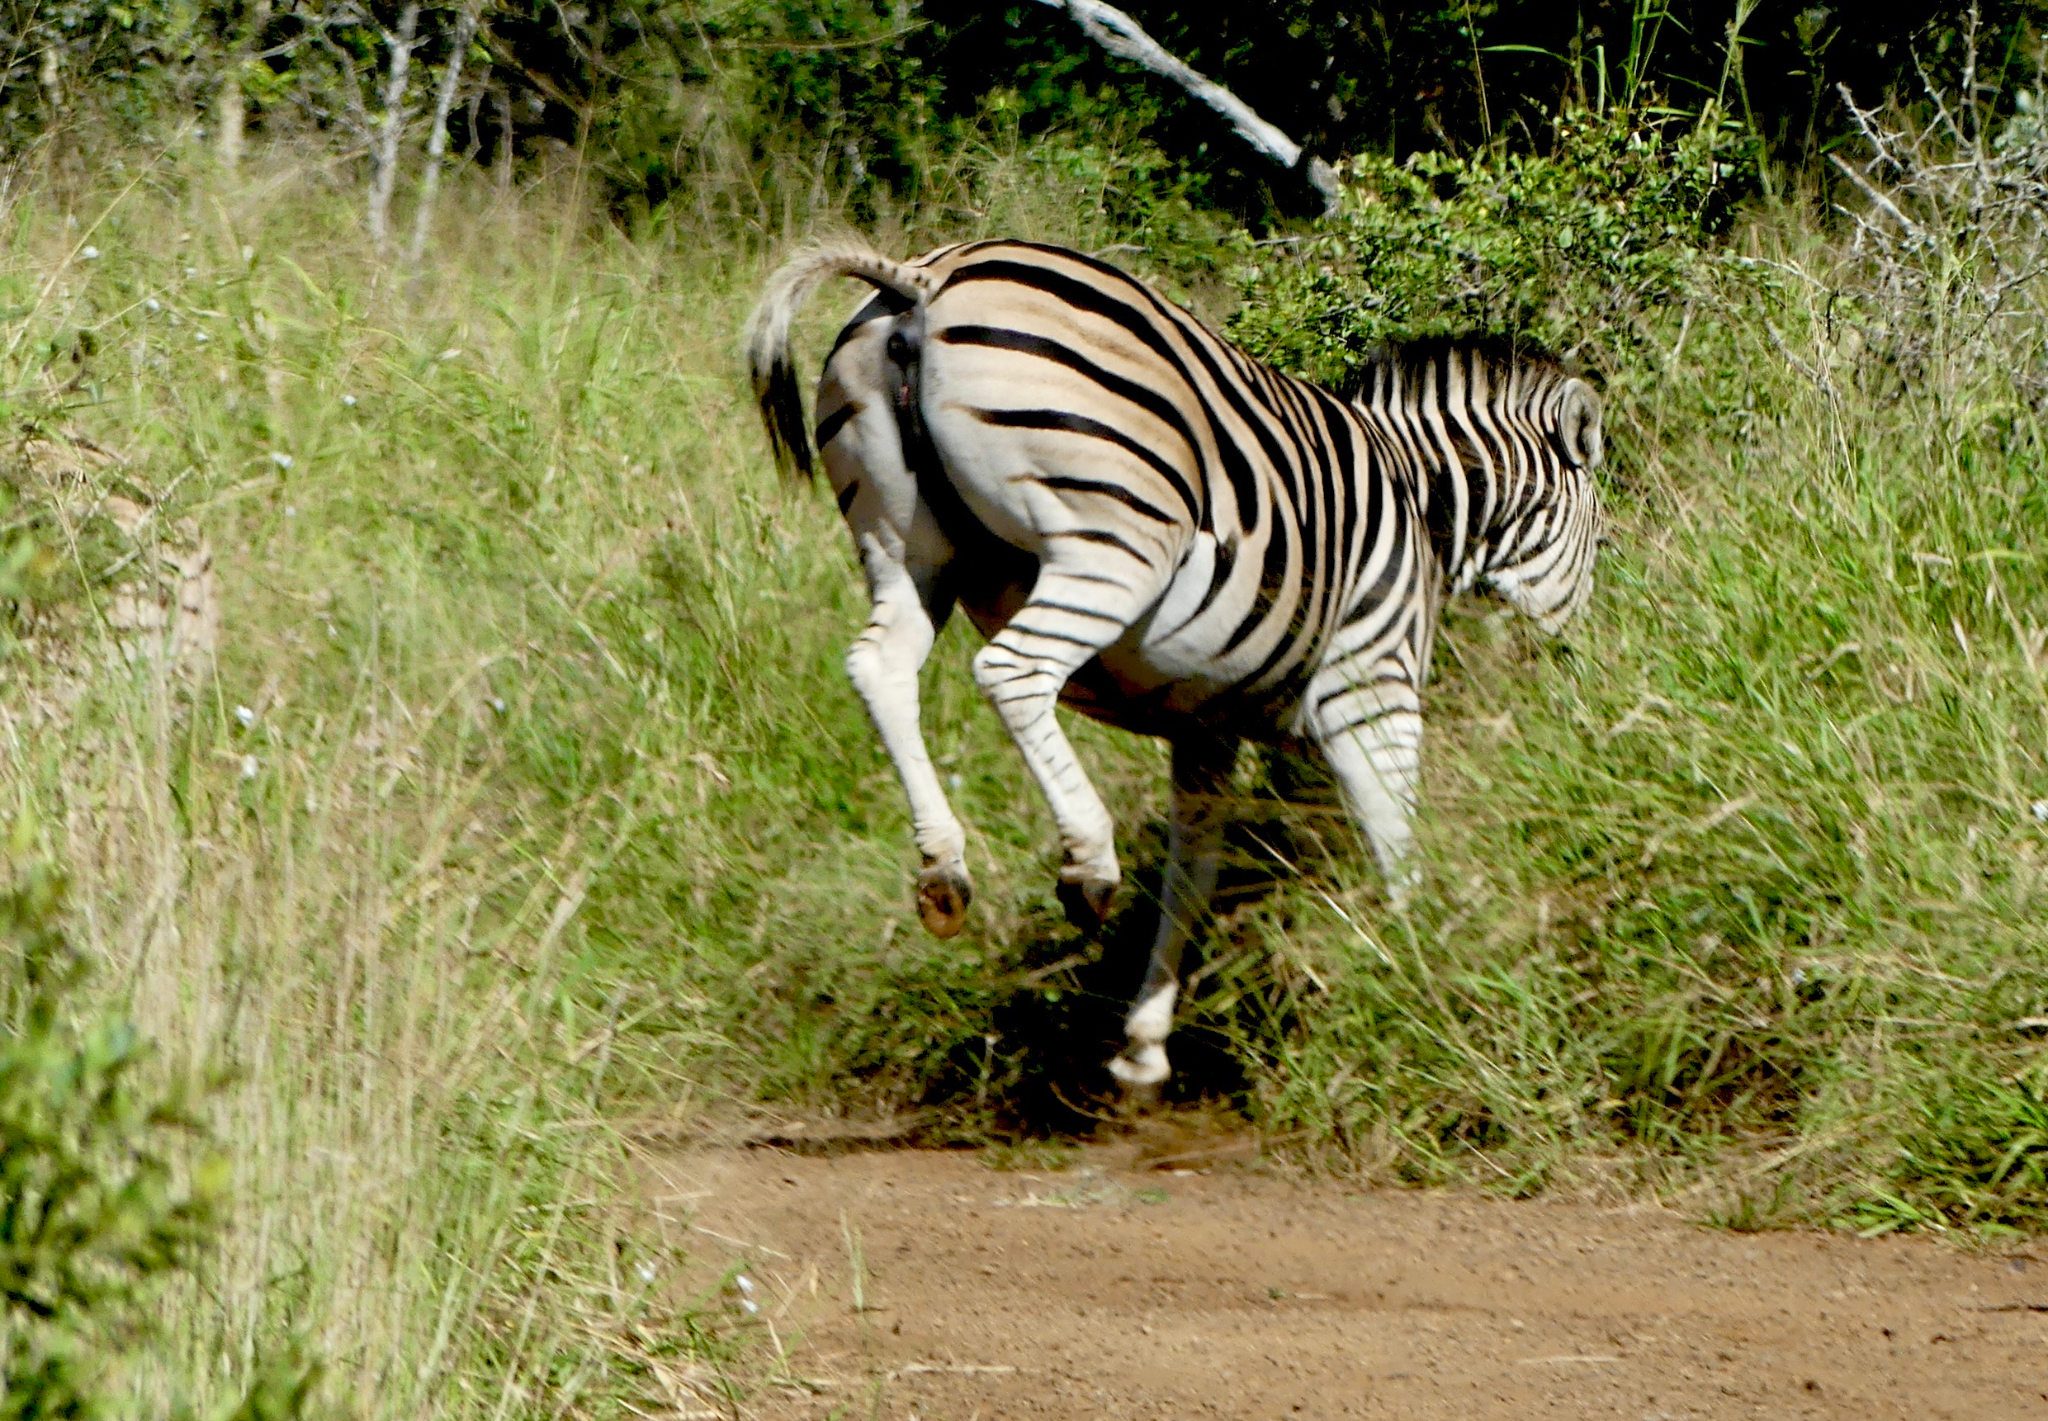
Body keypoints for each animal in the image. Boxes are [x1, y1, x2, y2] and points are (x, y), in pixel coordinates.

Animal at [745, 238, 1603, 1088]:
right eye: (1599, 532)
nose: (1575, 660)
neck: (1421, 501)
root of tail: (923, 278)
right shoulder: (1370, 687)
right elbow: (1395, 840)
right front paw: (1418, 968)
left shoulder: (1207, 725)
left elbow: (1196, 879)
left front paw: (1147, 1041)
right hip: (1114, 540)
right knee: (1012, 671)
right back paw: (1088, 860)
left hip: (907, 552)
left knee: (879, 668)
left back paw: (943, 869)